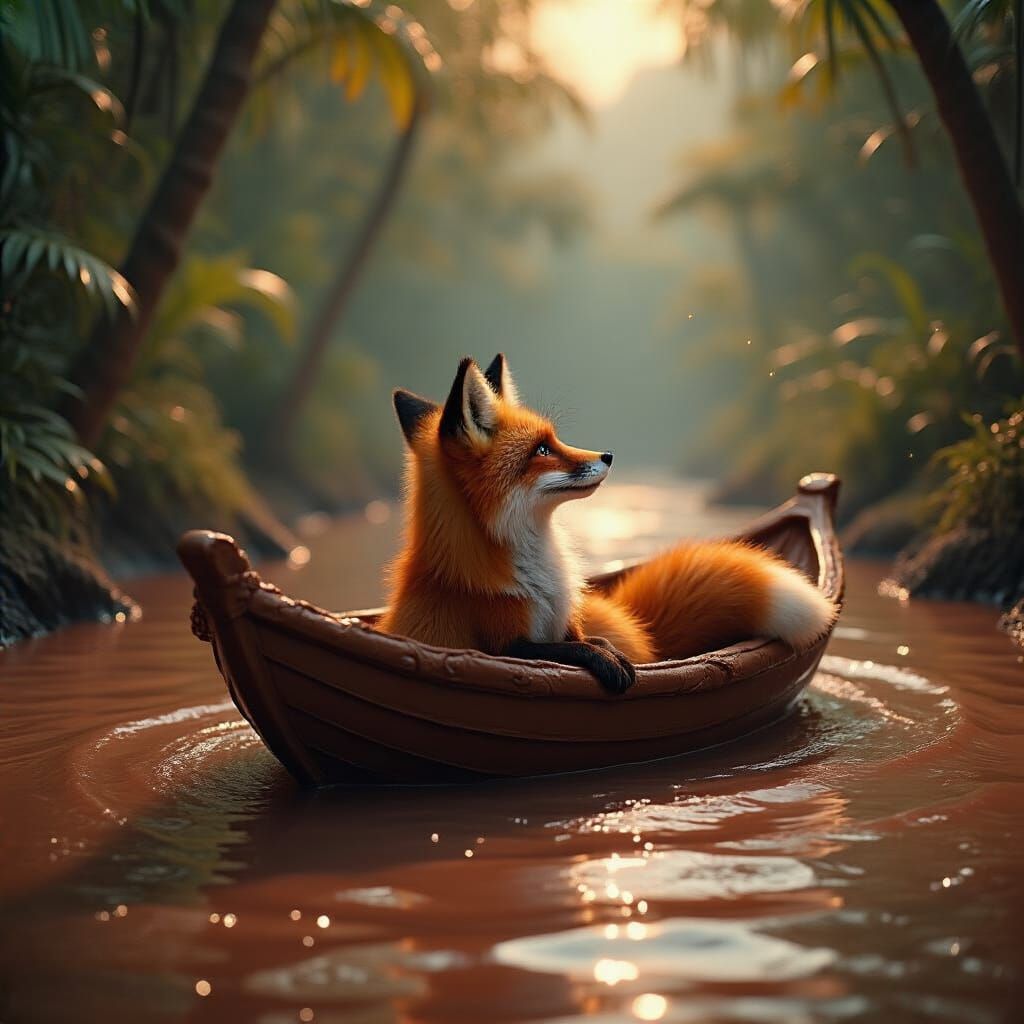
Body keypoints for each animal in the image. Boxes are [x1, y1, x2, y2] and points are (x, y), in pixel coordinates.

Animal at [378, 355, 837, 693]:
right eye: (542, 450)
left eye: (553, 440)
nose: (609, 455)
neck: (539, 580)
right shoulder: (504, 644)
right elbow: (565, 651)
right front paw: (607, 661)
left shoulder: (566, 623)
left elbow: (588, 641)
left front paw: (610, 653)